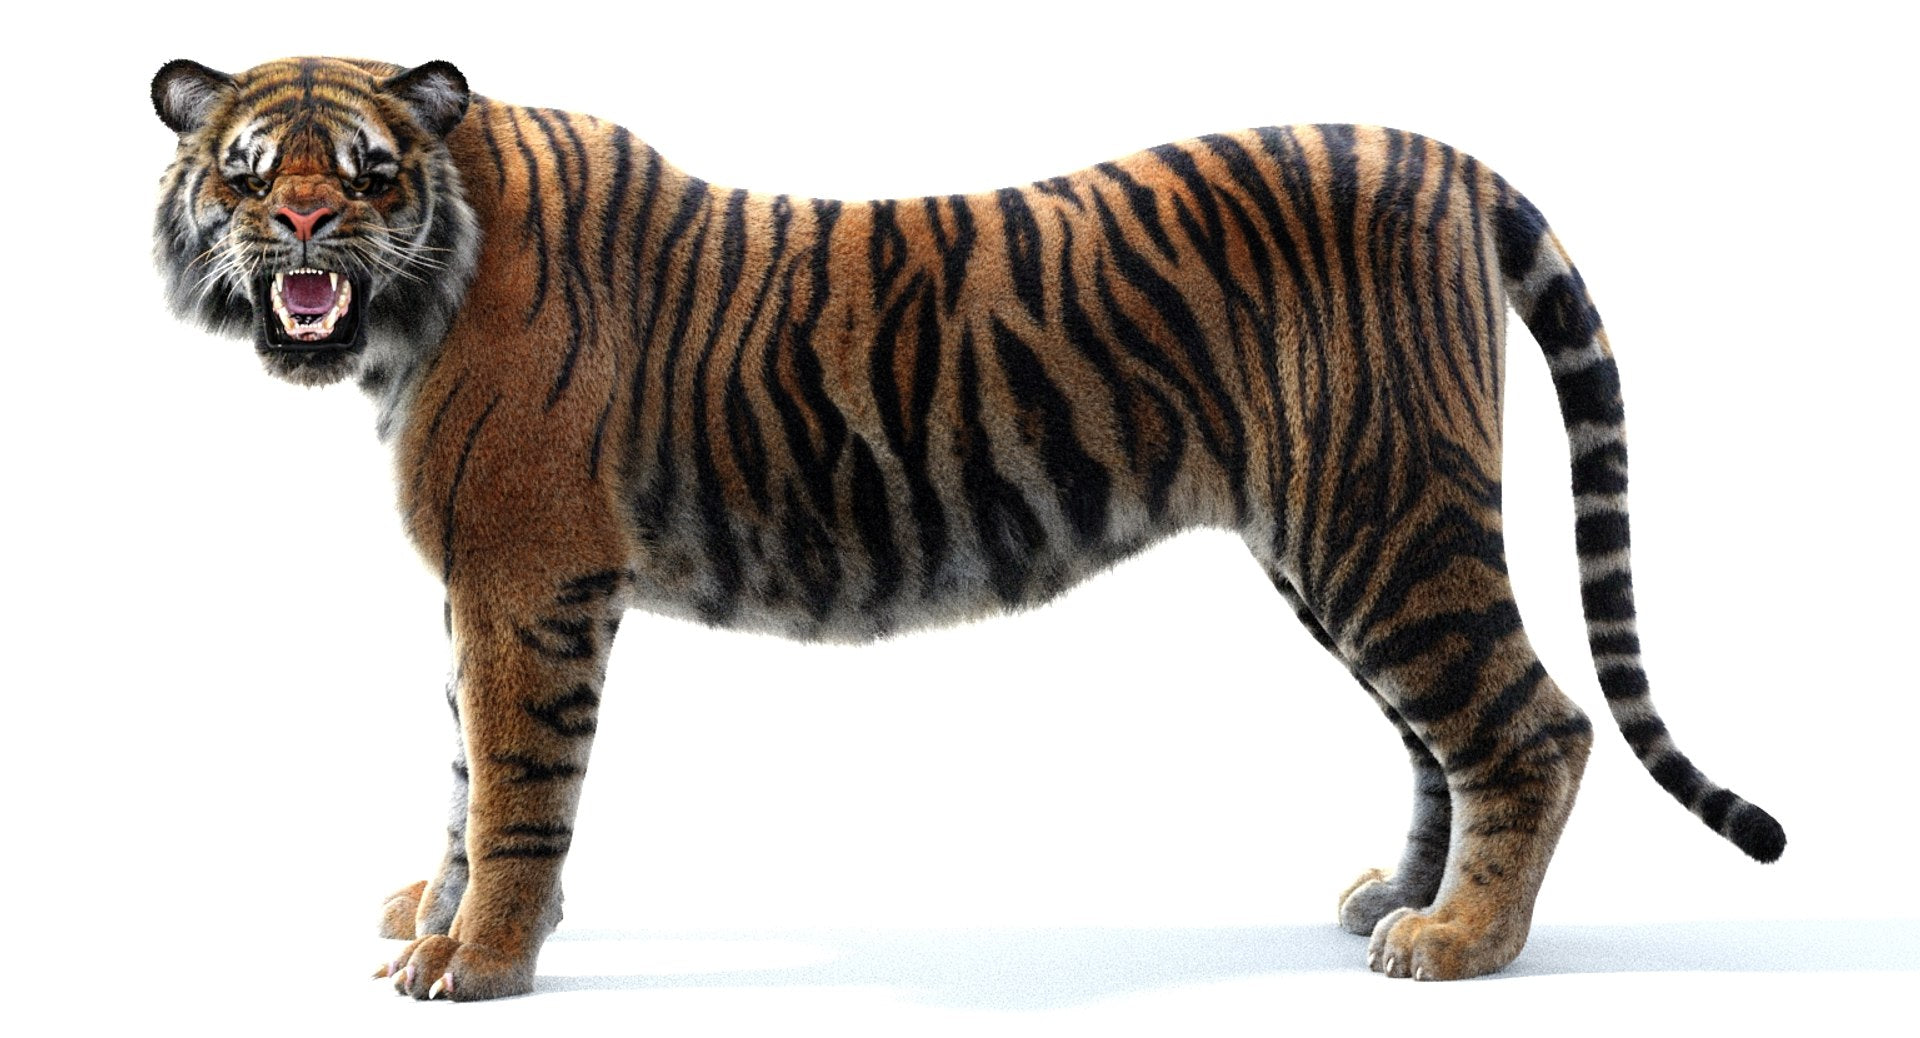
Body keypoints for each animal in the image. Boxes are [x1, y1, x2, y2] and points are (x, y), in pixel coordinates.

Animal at [150, 56, 1784, 1000]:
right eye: (249, 169)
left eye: (364, 171)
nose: (301, 229)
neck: (412, 303)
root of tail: (1444, 159)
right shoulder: (480, 587)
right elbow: (457, 772)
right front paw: (428, 917)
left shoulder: (527, 579)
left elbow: (511, 786)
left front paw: (480, 958)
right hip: (1336, 537)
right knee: (1435, 733)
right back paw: (1401, 898)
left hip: (1384, 512)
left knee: (1531, 724)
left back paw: (1462, 945)